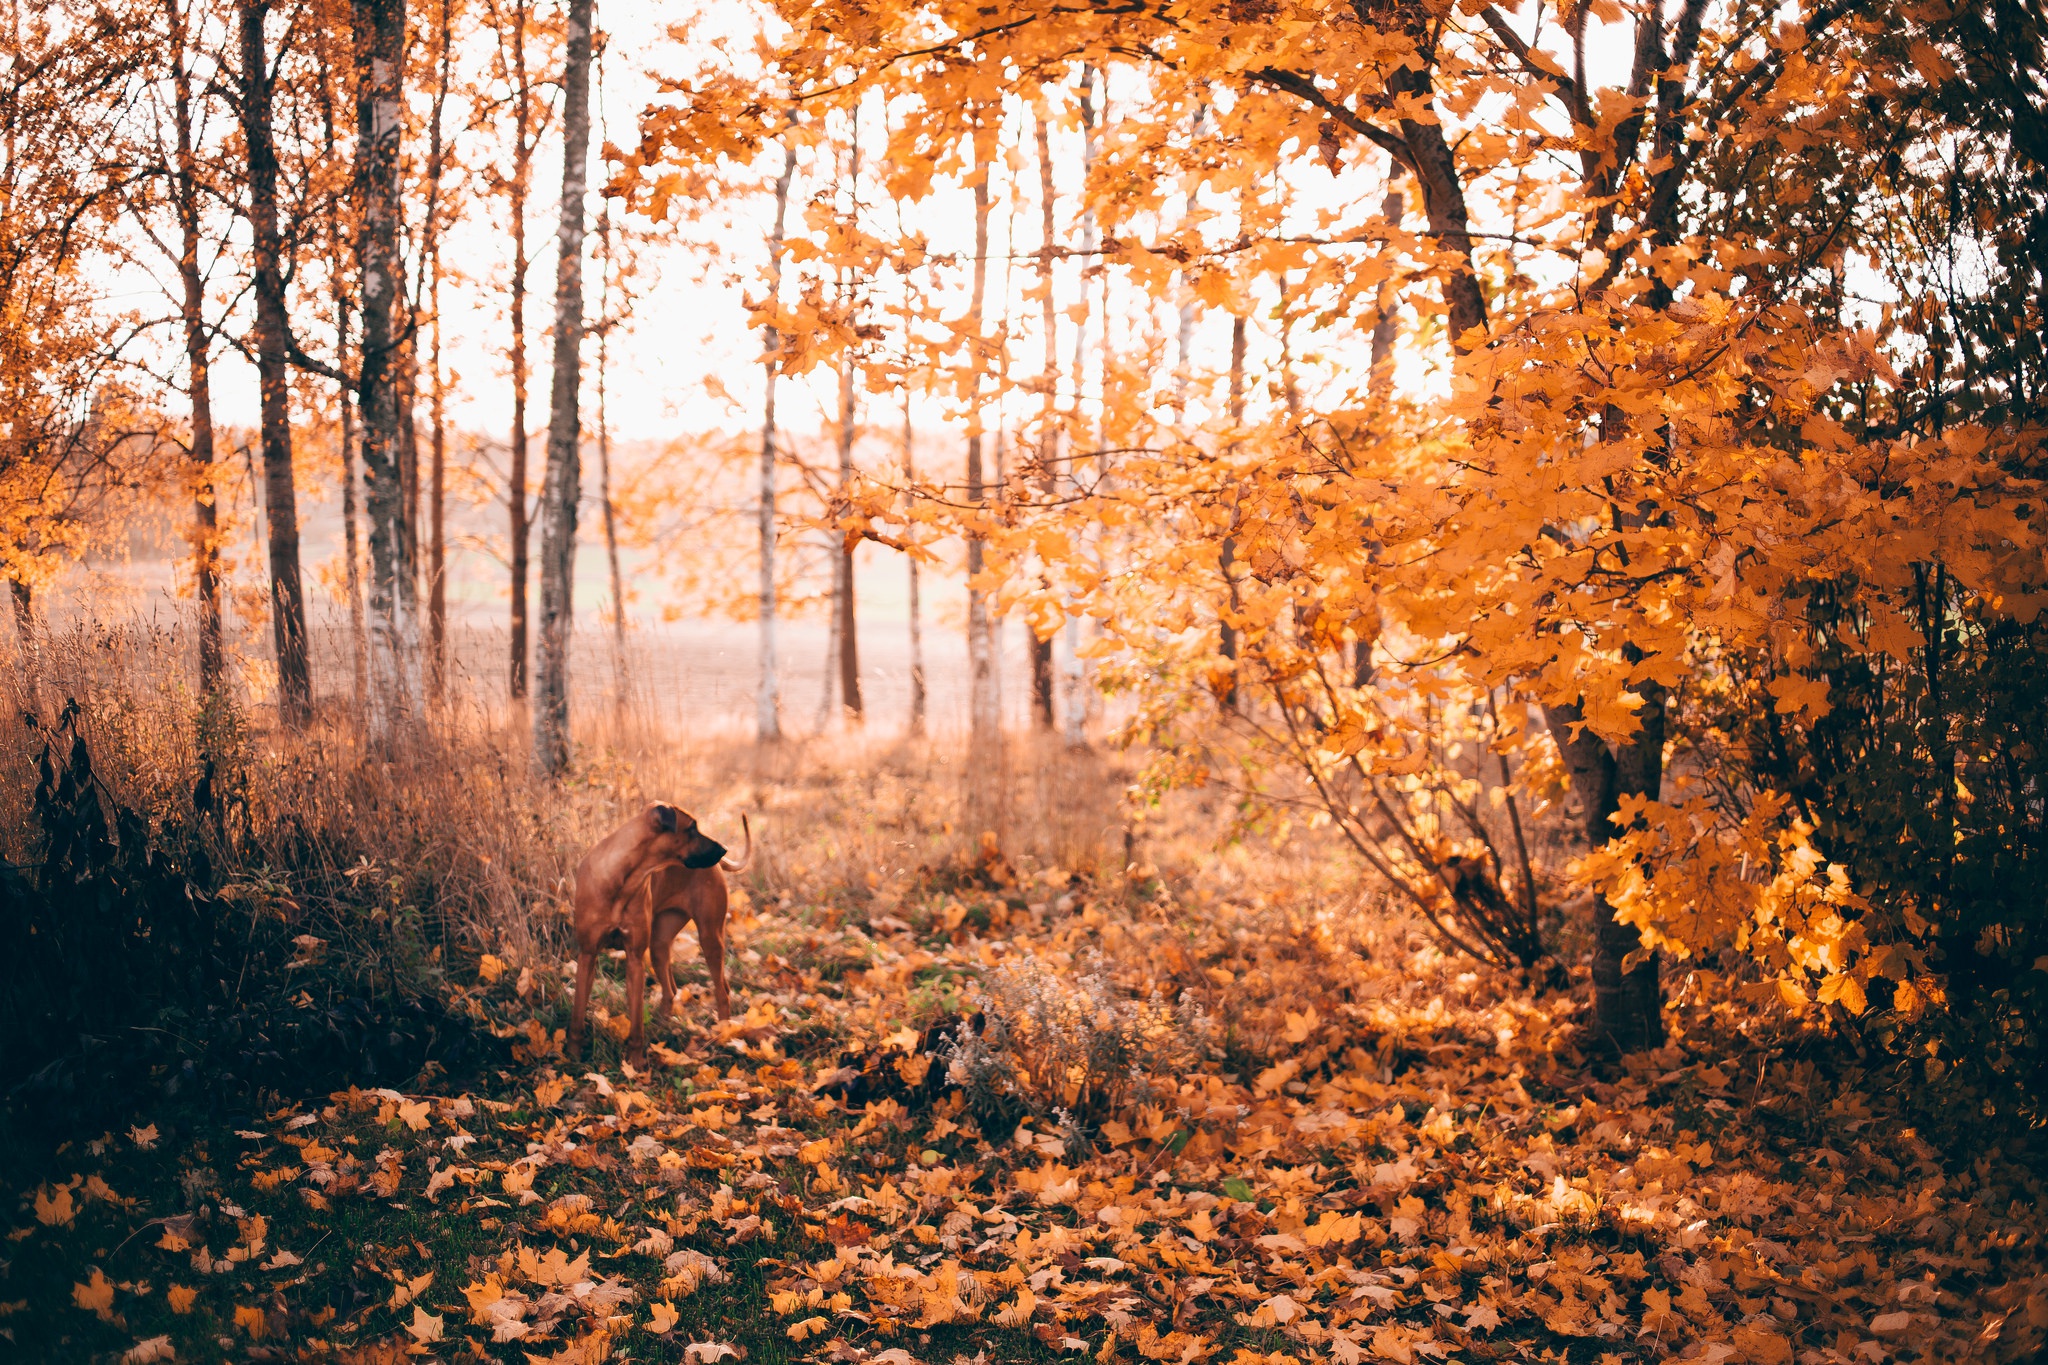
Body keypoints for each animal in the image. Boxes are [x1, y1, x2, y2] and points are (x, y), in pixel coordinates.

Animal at [569, 802, 753, 1064]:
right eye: (692, 828)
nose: (723, 849)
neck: (622, 879)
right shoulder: (587, 955)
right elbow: (577, 1014)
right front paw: (572, 1056)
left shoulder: (635, 959)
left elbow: (636, 1023)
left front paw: (636, 1063)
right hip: (658, 944)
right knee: (670, 990)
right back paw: (662, 1024)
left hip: (710, 937)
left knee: (722, 991)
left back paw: (724, 1035)